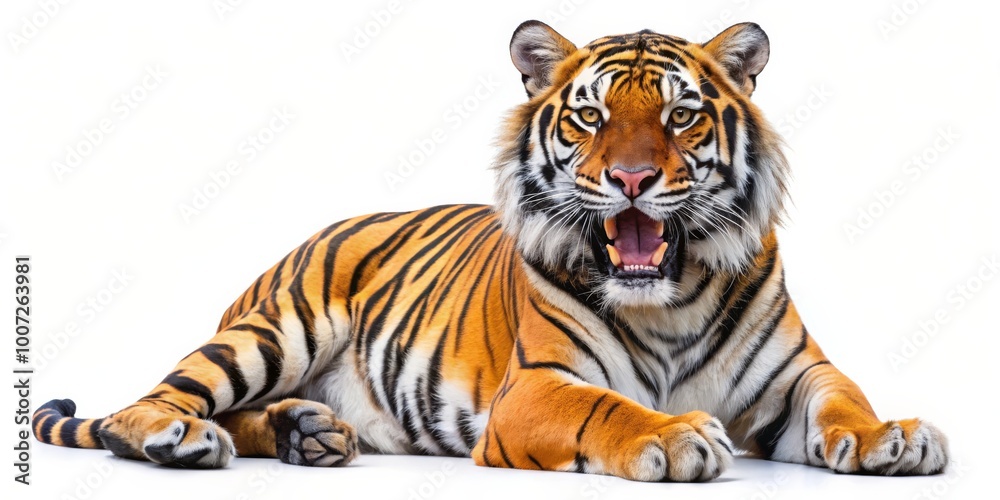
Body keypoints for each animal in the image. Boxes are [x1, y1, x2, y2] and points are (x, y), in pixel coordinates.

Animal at [33, 21, 948, 481]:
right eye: (590, 116)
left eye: (682, 115)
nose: (631, 177)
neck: (670, 297)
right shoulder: (535, 388)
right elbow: (609, 408)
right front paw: (676, 436)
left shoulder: (798, 374)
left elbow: (844, 400)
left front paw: (894, 437)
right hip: (269, 333)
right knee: (145, 406)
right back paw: (178, 438)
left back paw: (308, 433)